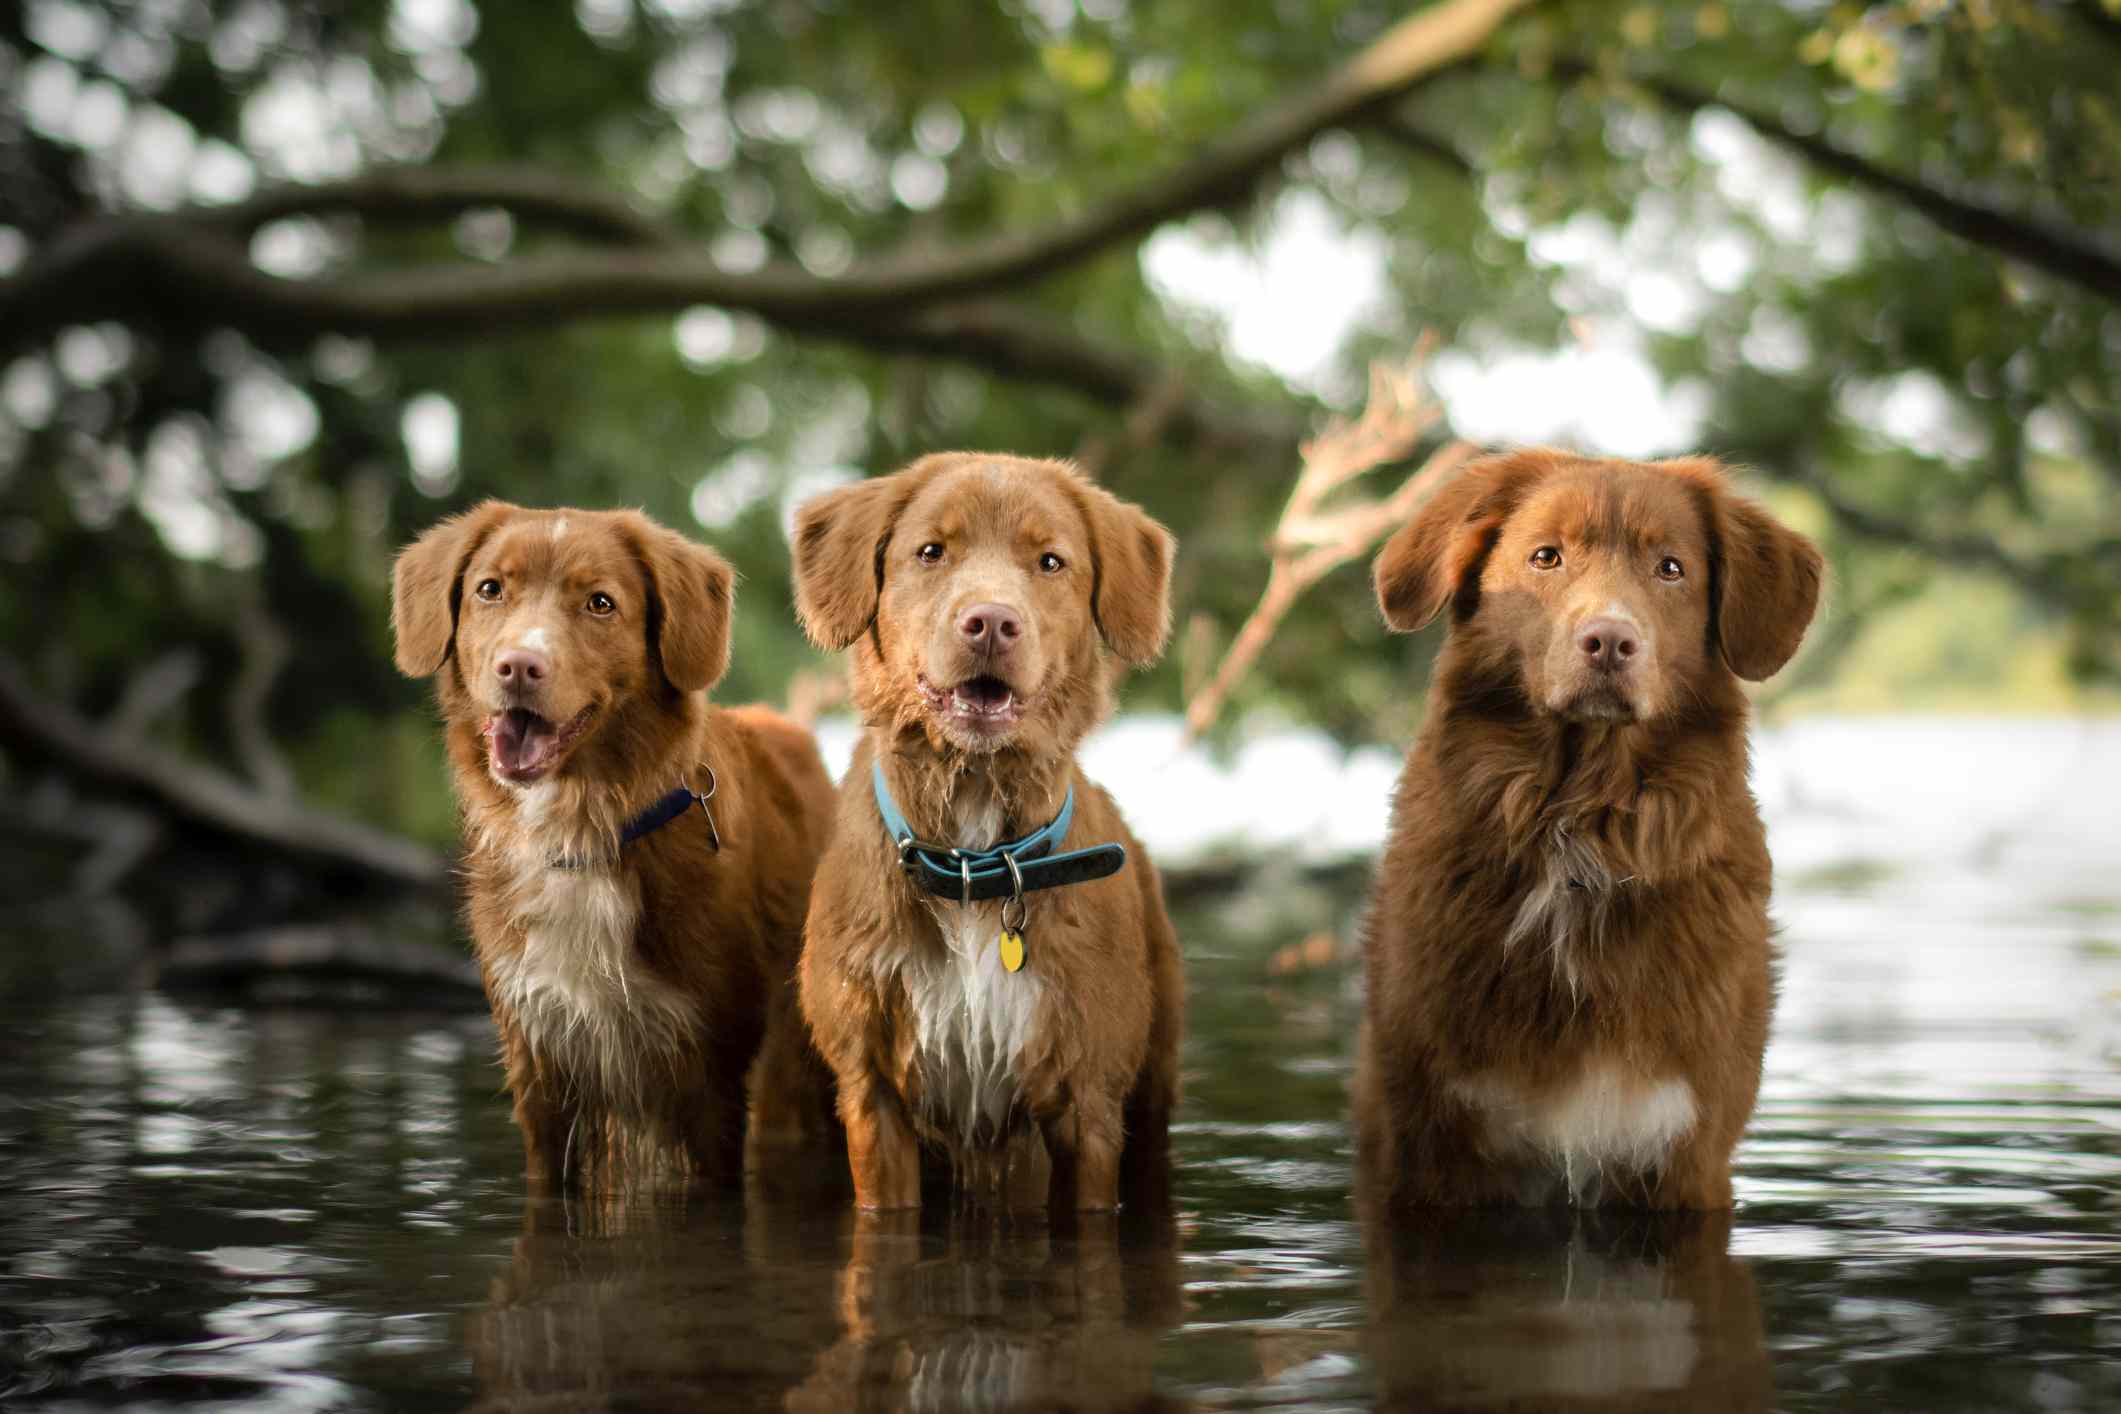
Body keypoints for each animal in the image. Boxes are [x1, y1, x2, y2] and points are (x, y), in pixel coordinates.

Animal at [392, 502, 835, 1187]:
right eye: (490, 590)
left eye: (600, 603)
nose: (518, 666)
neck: (584, 832)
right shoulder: (540, 1064)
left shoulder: (709, 1073)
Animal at [797, 453, 1196, 1221]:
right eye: (930, 551)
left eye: (1050, 561)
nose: (989, 622)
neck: (975, 857)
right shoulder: (872, 1092)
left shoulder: (1088, 1102)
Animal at [1357, 460, 1824, 1212]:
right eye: (1545, 557)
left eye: (1670, 568)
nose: (1609, 640)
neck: (1580, 827)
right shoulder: (1437, 1145)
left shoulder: (1682, 1152)